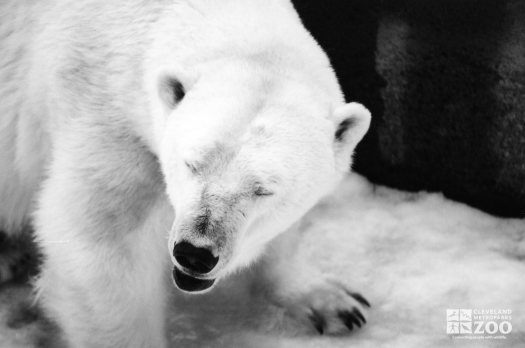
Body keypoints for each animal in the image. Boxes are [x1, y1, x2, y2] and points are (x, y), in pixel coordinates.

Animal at [0, 0, 370, 346]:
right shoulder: (110, 124)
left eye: (264, 189)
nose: (195, 254)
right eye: (191, 164)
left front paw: (333, 302)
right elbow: (102, 245)